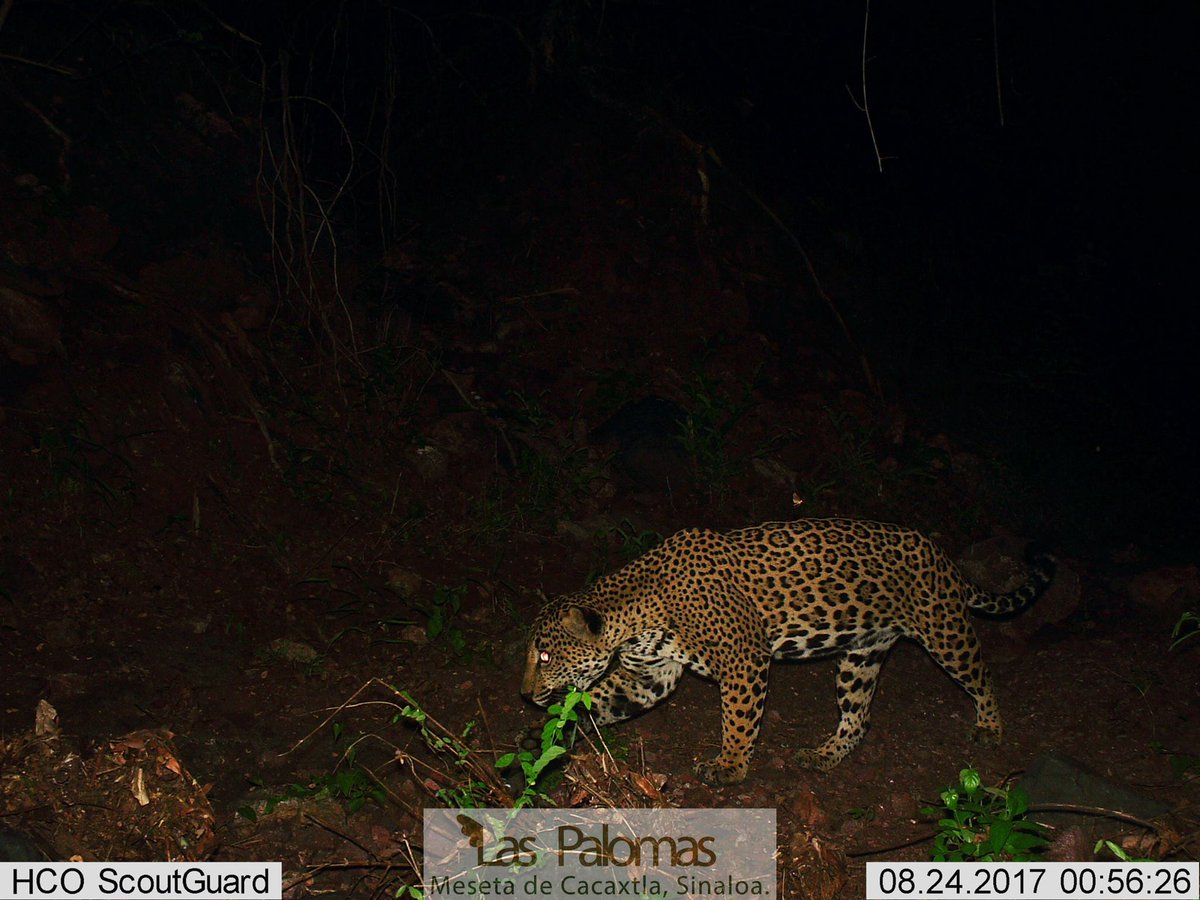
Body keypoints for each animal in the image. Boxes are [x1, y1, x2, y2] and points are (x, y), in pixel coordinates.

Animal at [521, 517, 1055, 786]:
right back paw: (824, 756)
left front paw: (730, 766)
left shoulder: (744, 660)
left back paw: (990, 727)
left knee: (981, 676)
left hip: (944, 630)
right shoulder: (649, 675)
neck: (637, 617)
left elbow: (738, 720)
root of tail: (939, 553)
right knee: (858, 717)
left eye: (544, 657)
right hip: (861, 655)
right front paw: (544, 734)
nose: (525, 695)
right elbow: (600, 700)